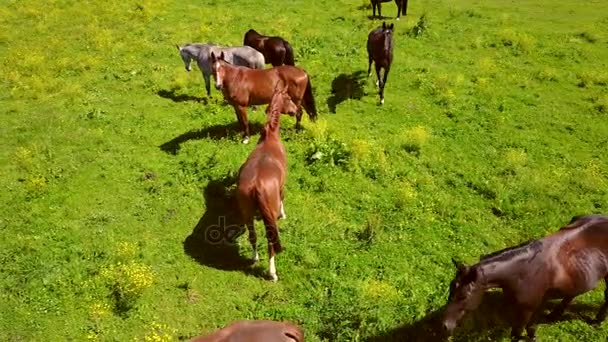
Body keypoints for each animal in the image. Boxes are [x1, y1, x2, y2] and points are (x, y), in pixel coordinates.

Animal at [235, 84, 296, 282]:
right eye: (289, 98)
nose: (295, 110)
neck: (270, 136)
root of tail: (256, 186)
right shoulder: (282, 186)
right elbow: (283, 199)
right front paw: (283, 214)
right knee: (270, 242)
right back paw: (272, 273)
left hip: (247, 214)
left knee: (253, 237)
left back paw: (254, 257)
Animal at [442, 215, 608, 340]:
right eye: (451, 288)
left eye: (463, 296)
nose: (445, 326)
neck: (525, 272)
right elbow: (530, 327)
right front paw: (532, 336)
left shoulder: (527, 309)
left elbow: (516, 334)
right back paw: (554, 315)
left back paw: (597, 321)